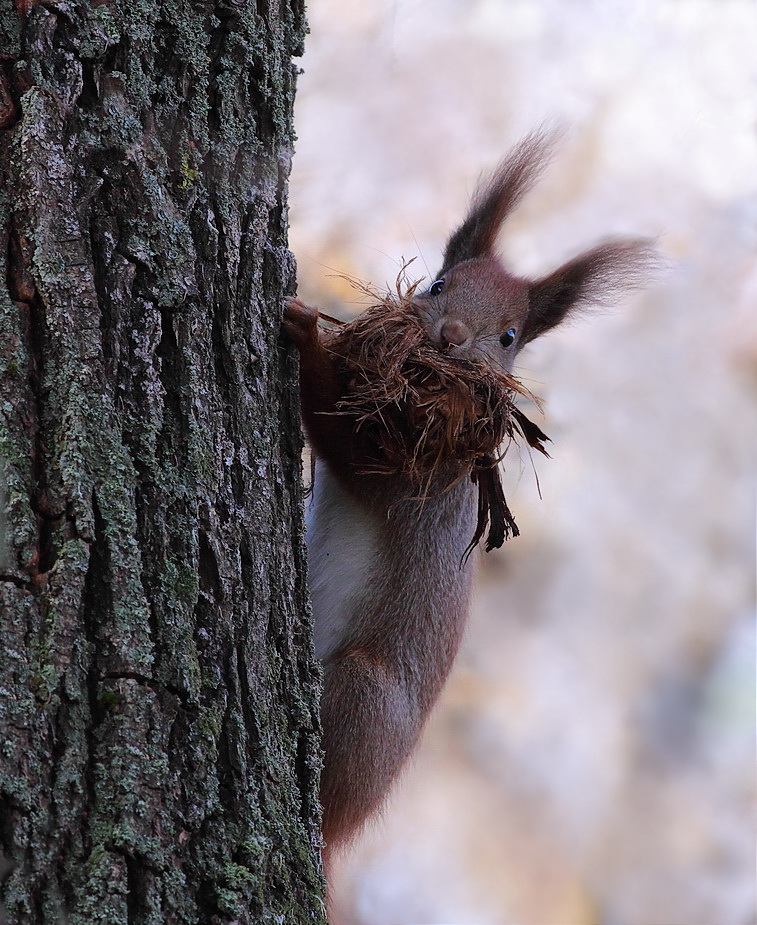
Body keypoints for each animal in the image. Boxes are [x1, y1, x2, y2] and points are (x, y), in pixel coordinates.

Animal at [284, 130, 648, 860]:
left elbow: (336, 436)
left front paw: (306, 327)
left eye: (508, 337)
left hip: (362, 695)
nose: (450, 336)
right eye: (436, 283)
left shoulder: (411, 477)